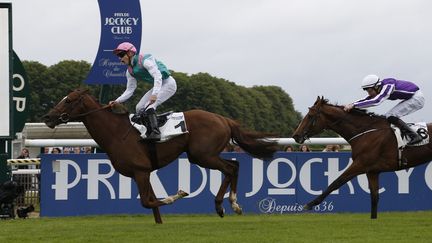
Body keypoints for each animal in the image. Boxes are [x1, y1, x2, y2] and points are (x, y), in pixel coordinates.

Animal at [41, 88, 276, 223]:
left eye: (69, 100)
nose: (48, 117)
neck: (117, 133)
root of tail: (223, 119)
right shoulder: (143, 173)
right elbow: (152, 202)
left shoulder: (140, 171)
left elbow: (147, 202)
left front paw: (178, 193)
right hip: (202, 155)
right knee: (233, 166)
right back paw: (225, 205)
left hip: (202, 155)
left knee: (231, 167)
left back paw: (229, 204)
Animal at [292, 96, 432, 218]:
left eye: (310, 116)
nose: (295, 135)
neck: (365, 132)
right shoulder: (372, 171)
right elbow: (374, 197)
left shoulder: (360, 165)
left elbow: (336, 182)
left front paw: (310, 204)